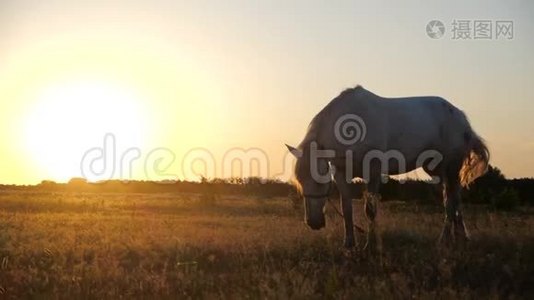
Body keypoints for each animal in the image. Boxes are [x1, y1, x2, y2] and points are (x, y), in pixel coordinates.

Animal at [288, 85, 490, 248]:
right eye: (300, 181)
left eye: (319, 181)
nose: (313, 223)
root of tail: (461, 117)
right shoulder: (341, 174)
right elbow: (347, 208)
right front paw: (349, 244)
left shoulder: (373, 172)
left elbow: (370, 210)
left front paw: (369, 246)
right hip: (437, 170)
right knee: (454, 198)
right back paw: (460, 238)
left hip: (451, 166)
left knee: (451, 201)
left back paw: (445, 240)